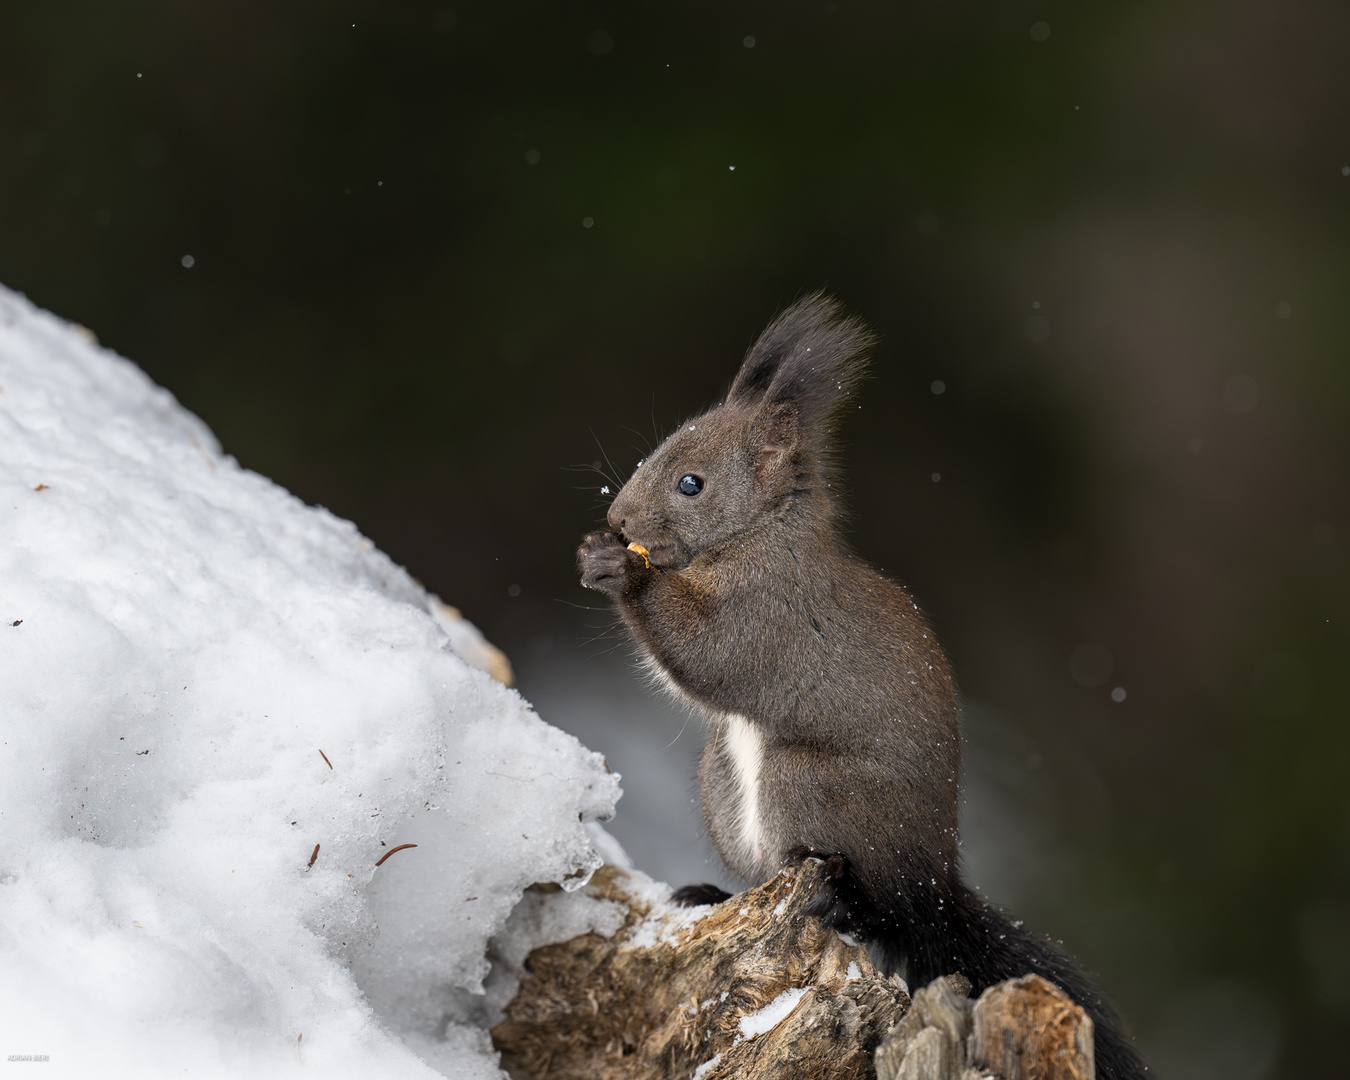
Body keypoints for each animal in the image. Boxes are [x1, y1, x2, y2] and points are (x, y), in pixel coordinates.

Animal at [577, 291, 1150, 1074]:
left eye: (690, 483)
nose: (617, 517)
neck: (757, 539)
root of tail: (935, 885)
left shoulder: (771, 616)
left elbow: (709, 656)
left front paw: (620, 569)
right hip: (721, 787)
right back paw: (711, 893)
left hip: (812, 789)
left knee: (879, 909)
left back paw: (842, 904)